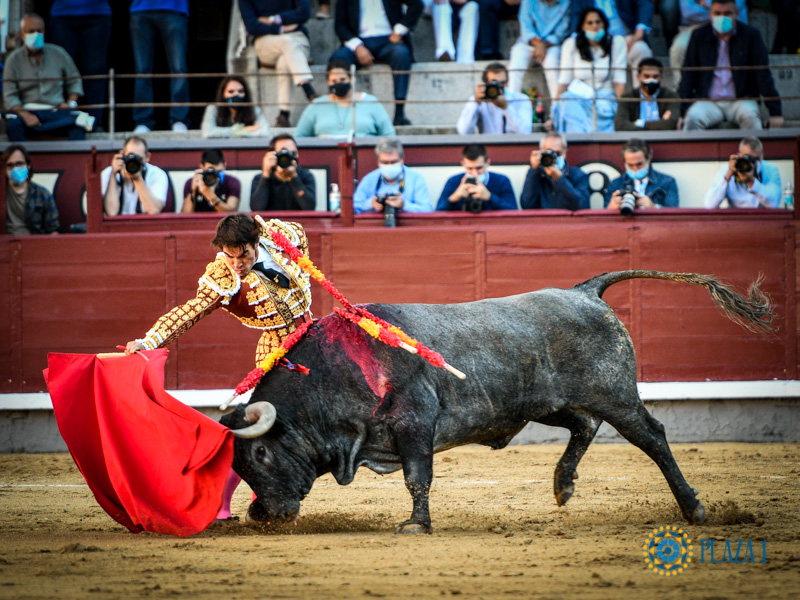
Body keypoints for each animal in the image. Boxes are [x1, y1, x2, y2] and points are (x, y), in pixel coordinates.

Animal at [220, 270, 774, 534]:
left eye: (262, 453)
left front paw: (416, 525)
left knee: (652, 437)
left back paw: (694, 508)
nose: (263, 515)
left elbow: (417, 475)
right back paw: (562, 485)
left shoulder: (414, 421)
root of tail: (585, 291)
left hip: (615, 395)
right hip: (545, 402)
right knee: (584, 426)